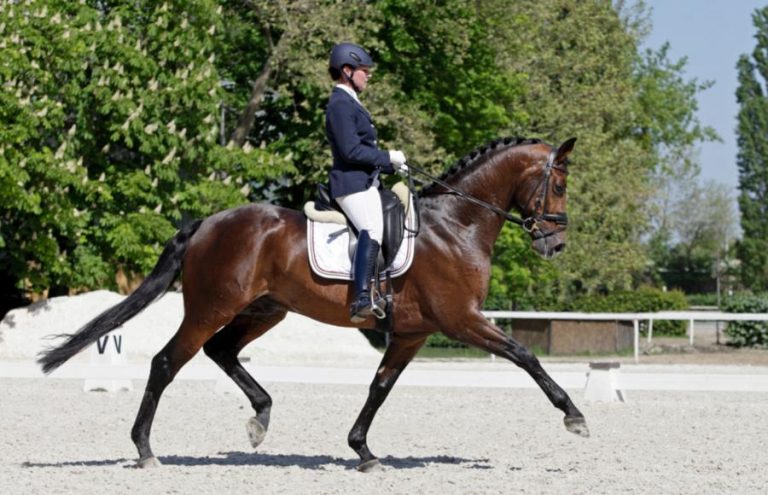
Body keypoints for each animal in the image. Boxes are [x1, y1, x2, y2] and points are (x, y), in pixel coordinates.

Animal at [39, 136, 588, 472]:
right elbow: (525, 355)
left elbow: (379, 386)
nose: (556, 245)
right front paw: (574, 415)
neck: (456, 225)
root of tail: (205, 224)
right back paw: (146, 450)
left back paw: (260, 418)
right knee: (167, 362)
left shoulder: (414, 332)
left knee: (222, 352)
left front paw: (362, 450)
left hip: (264, 310)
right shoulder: (462, 320)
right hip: (211, 308)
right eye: (559, 184)